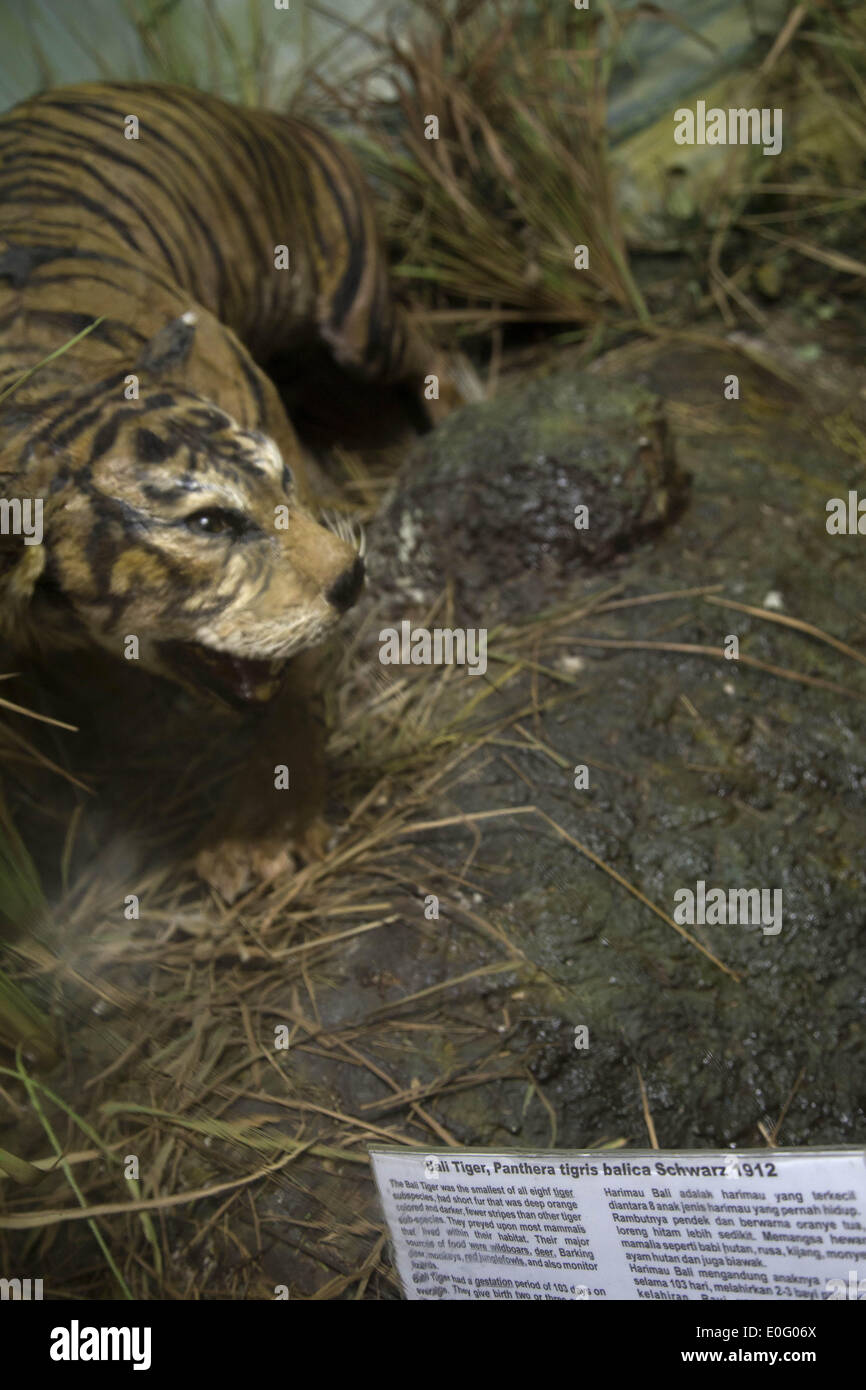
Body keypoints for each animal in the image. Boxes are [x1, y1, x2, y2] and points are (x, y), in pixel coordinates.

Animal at [0, 81, 444, 900]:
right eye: (208, 524)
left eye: (283, 482)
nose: (353, 579)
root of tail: (275, 111)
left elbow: (289, 684)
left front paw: (265, 832)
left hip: (353, 313)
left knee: (426, 341)